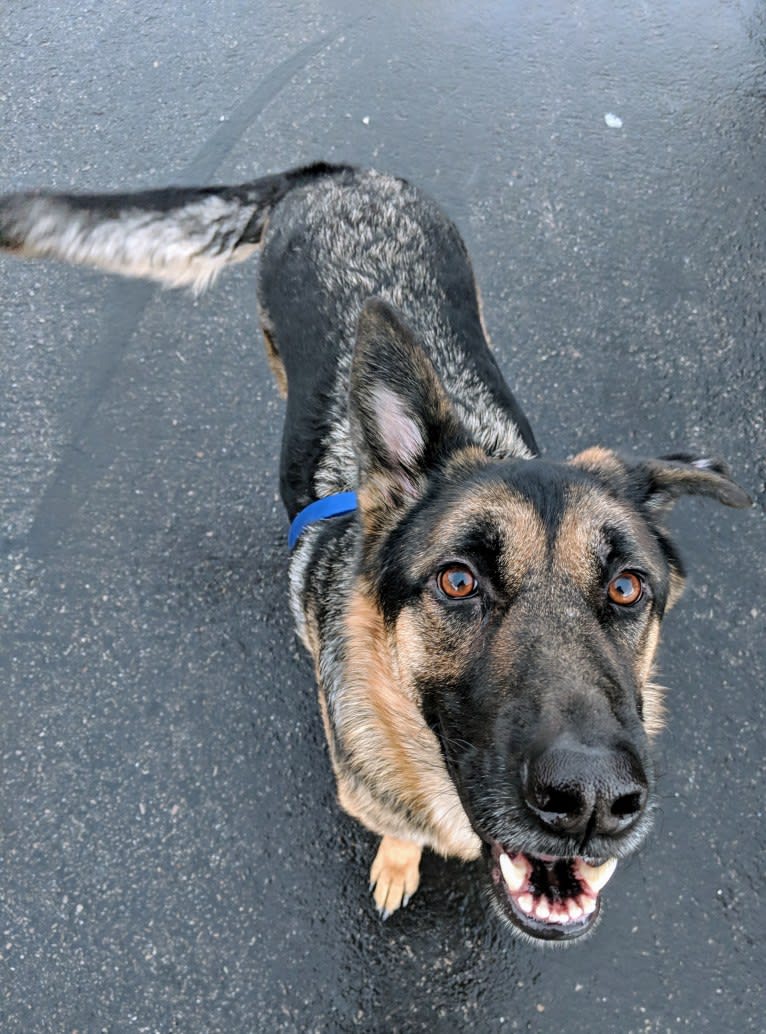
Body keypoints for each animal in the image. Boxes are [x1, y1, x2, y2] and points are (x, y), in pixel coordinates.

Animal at [0, 163, 748, 947]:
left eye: (628, 589)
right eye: (458, 581)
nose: (594, 802)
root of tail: (339, 173)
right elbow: (398, 832)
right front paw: (397, 862)